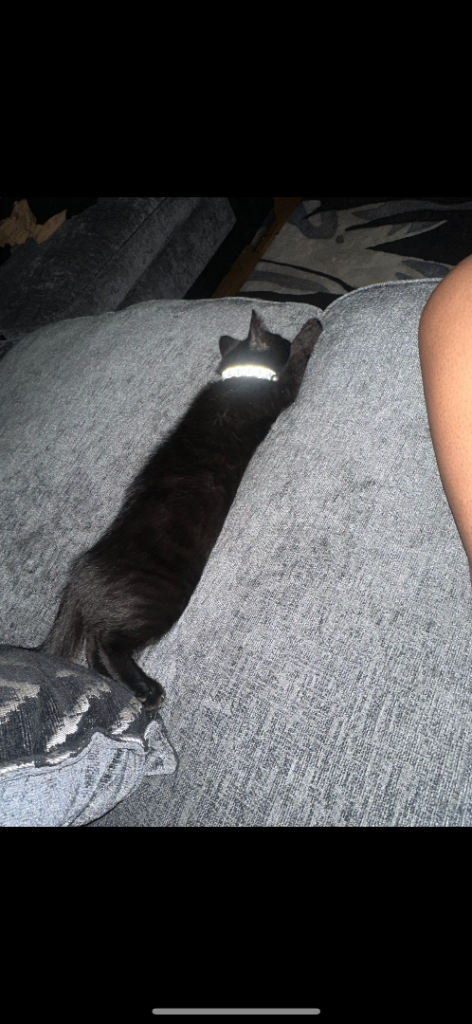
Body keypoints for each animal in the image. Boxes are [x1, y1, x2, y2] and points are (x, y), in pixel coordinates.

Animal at [40, 311, 322, 710]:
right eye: (280, 338)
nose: (286, 334)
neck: (240, 377)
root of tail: (80, 571)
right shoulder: (282, 390)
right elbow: (298, 361)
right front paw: (309, 330)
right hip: (158, 600)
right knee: (107, 641)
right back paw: (148, 691)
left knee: (94, 646)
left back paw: (131, 689)